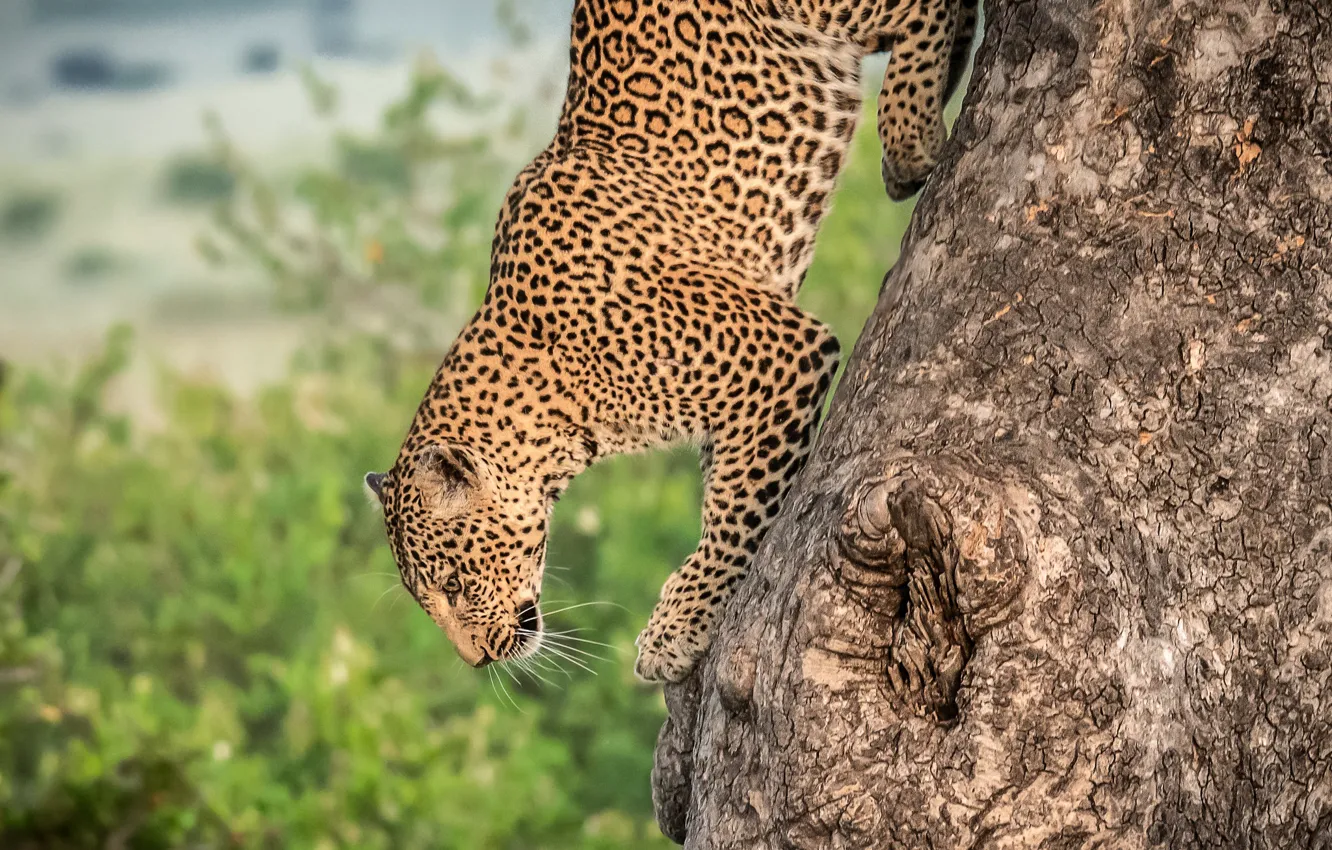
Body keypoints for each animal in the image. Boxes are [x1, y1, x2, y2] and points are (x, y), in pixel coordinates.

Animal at [364, 0, 979, 683]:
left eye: (452, 582)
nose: (476, 660)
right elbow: (734, 487)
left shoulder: (779, 352)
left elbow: (736, 510)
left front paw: (678, 627)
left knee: (925, 12)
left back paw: (909, 140)